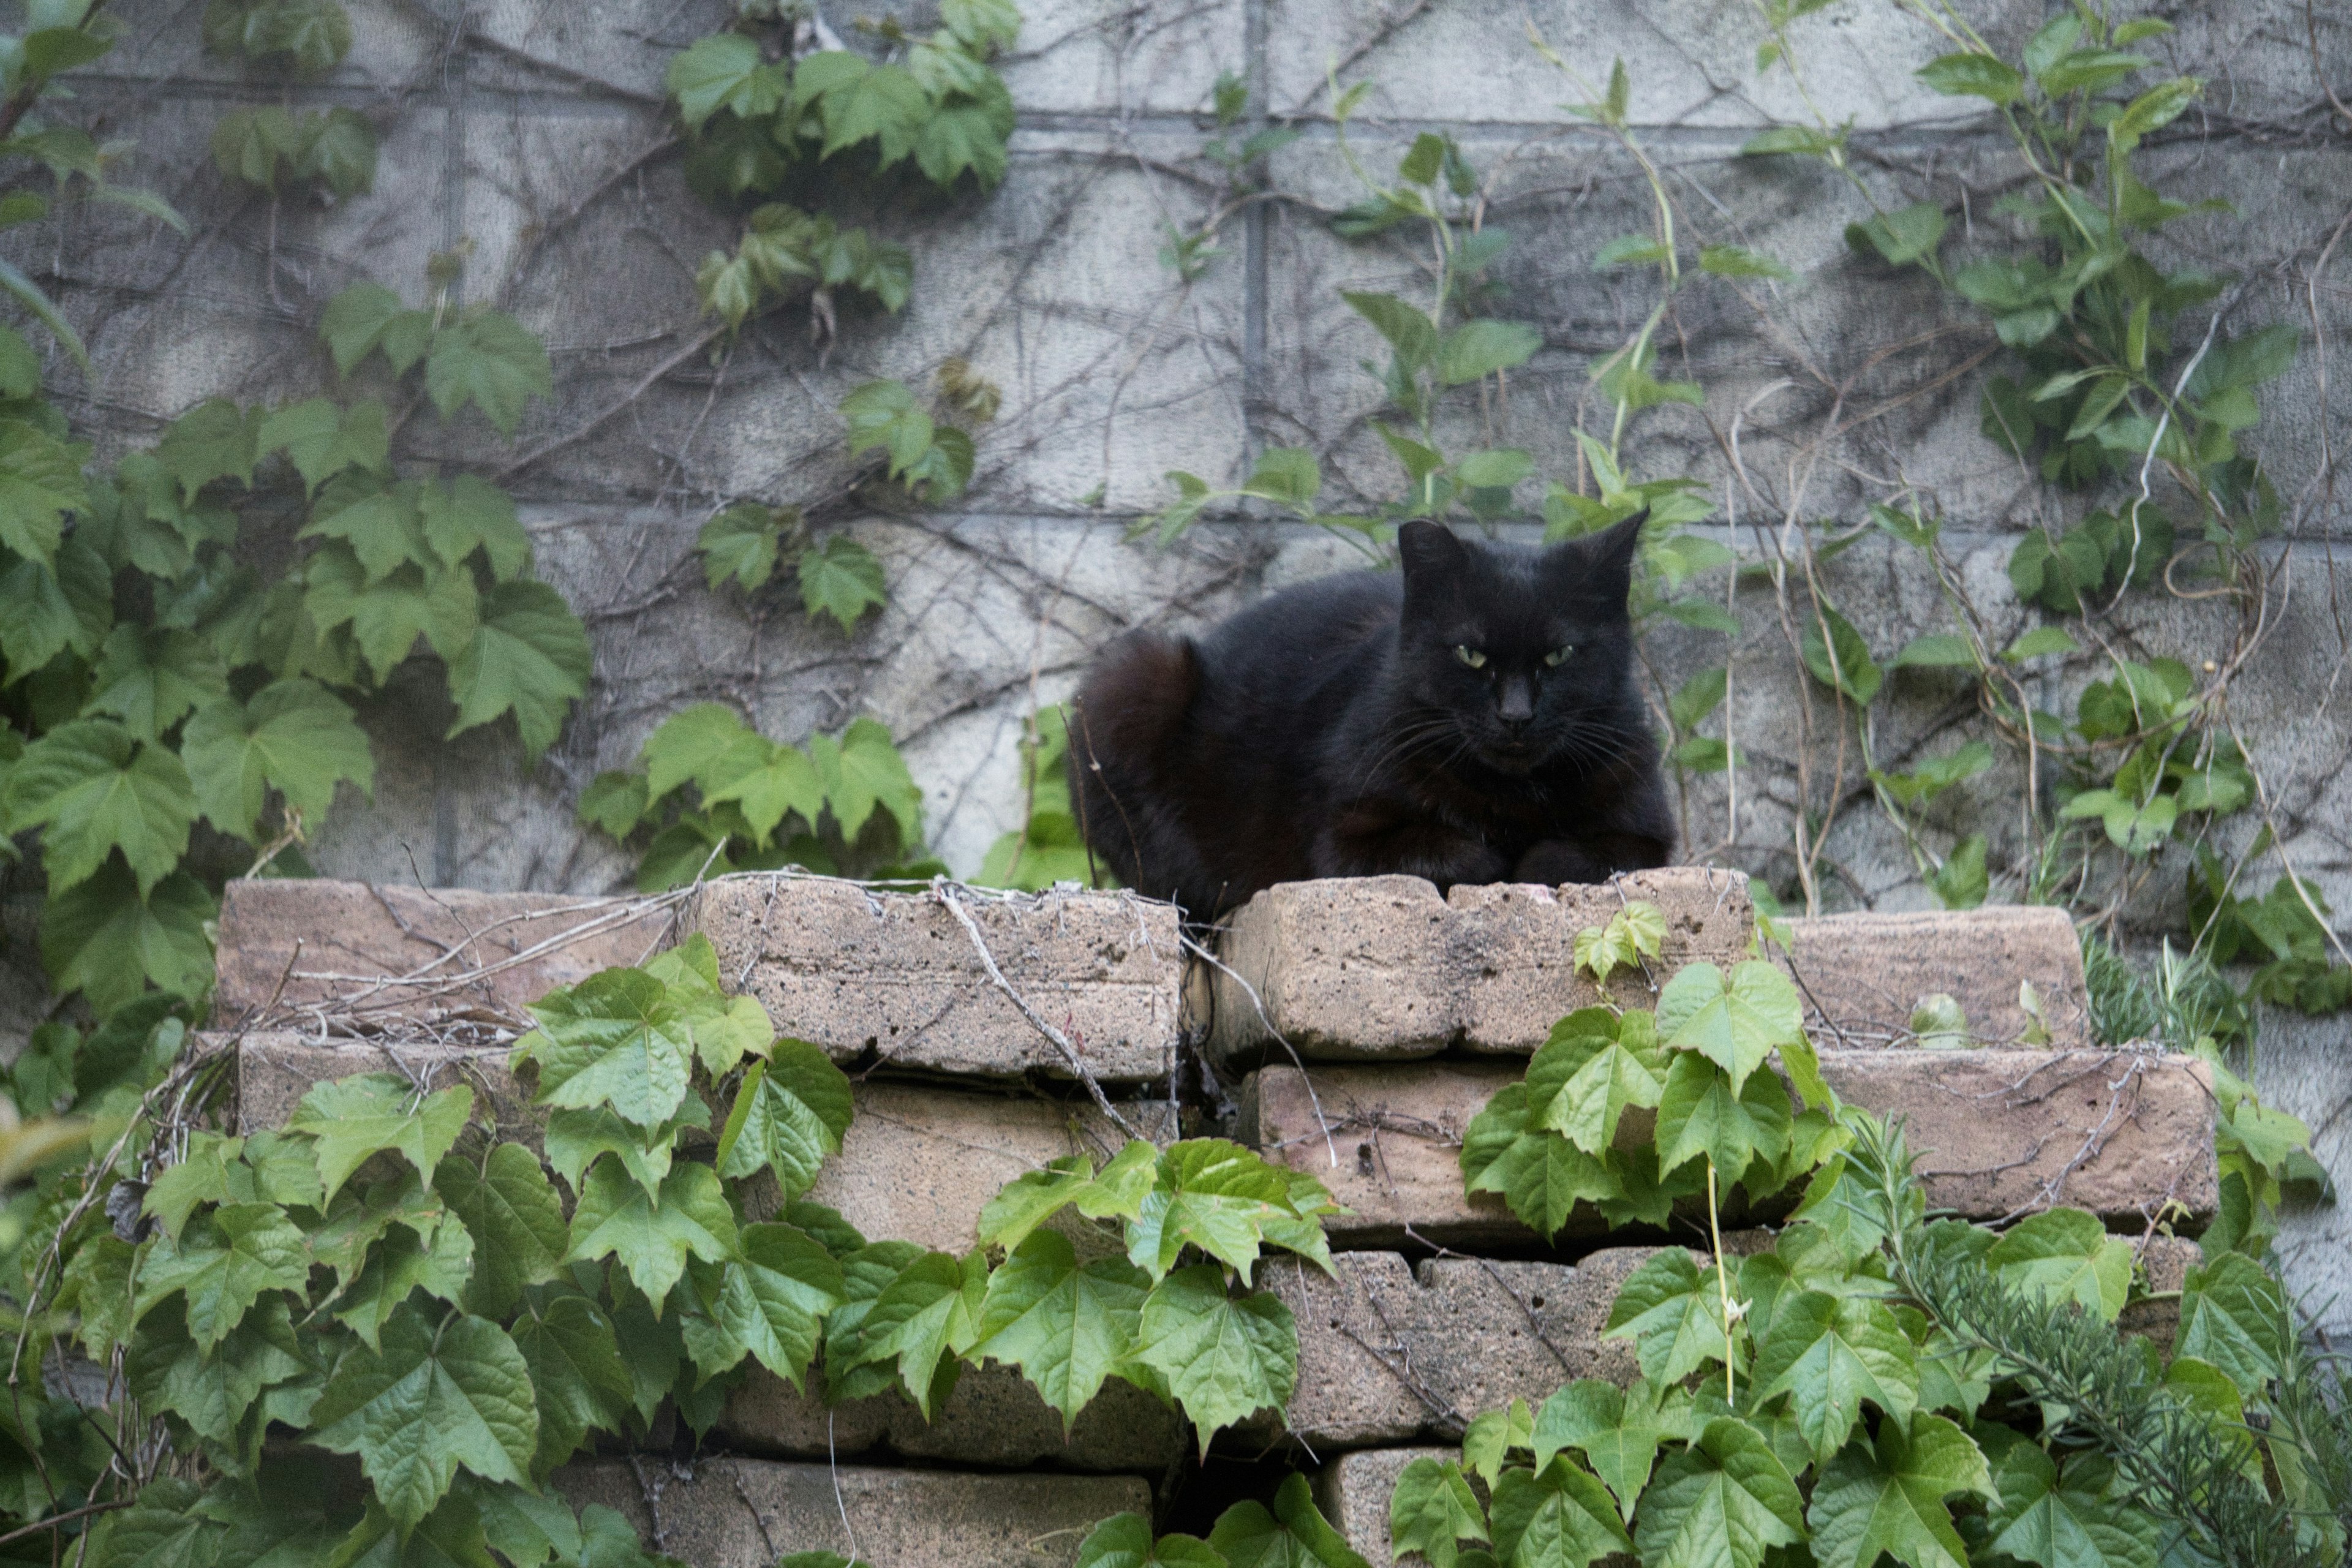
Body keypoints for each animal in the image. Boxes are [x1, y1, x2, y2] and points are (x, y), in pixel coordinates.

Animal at [1068, 512, 1675, 921]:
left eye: (1560, 655)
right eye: (1470, 655)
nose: (1516, 715)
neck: (1511, 799)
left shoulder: (1650, 837)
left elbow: (1566, 855)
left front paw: (1527, 857)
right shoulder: (1343, 841)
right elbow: (1459, 852)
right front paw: (1495, 858)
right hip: (1132, 678)